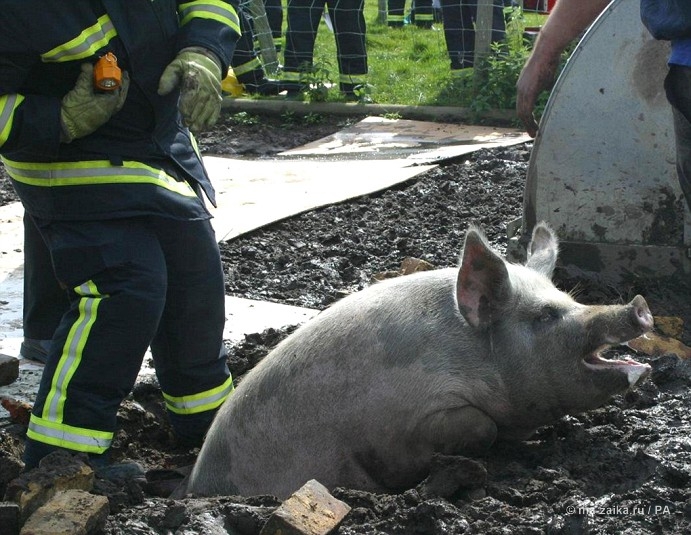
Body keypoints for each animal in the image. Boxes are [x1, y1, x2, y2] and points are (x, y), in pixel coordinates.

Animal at [182, 221, 656, 498]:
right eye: (545, 316)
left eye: (571, 300)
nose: (638, 305)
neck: (474, 357)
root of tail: (194, 487)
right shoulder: (414, 418)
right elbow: (481, 428)